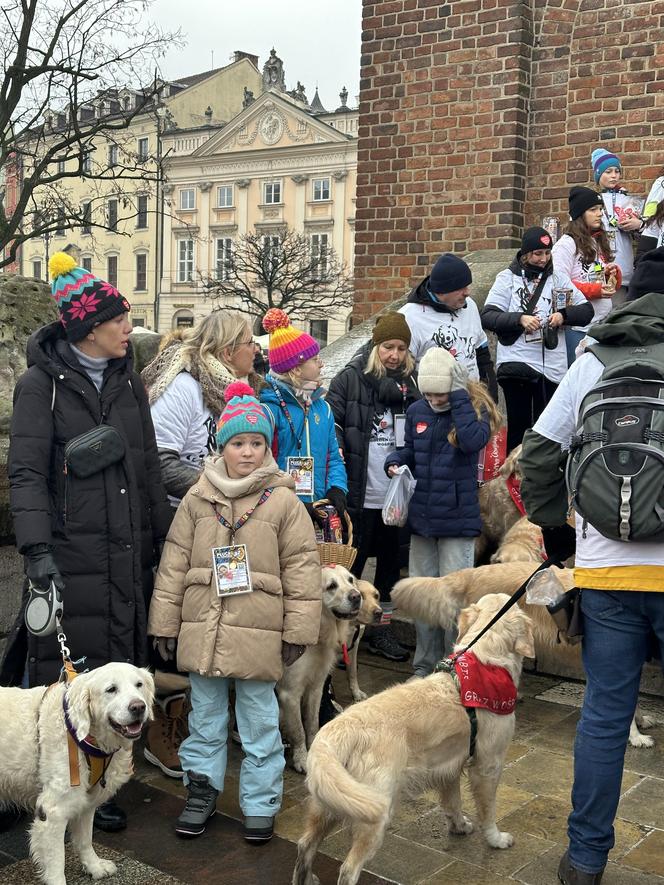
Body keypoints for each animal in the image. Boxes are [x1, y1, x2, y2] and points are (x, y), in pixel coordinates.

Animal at [0, 664, 154, 884]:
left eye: (139, 684)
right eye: (111, 689)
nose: (138, 707)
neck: (83, 736)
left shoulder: (86, 801)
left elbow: (85, 839)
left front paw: (94, 866)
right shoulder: (53, 811)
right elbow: (57, 861)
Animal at [276, 568, 382, 772]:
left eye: (350, 580)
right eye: (331, 586)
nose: (356, 596)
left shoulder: (316, 686)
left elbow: (311, 723)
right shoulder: (290, 692)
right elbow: (298, 730)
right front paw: (301, 758)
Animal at [290, 592, 536, 884]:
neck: (484, 661)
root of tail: (338, 730)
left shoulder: (449, 766)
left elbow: (453, 802)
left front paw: (459, 825)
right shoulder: (488, 765)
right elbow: (488, 810)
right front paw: (496, 839)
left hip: (330, 799)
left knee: (304, 846)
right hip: (371, 811)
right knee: (348, 870)